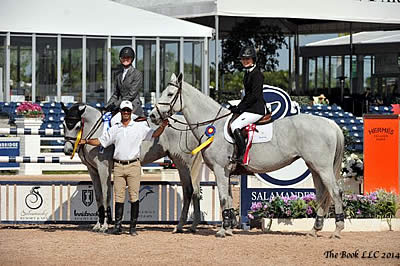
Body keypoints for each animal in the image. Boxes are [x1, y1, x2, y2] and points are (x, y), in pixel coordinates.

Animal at [63, 103, 202, 233]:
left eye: (77, 126)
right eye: (64, 125)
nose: (67, 150)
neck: (97, 131)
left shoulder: (103, 168)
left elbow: (106, 194)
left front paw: (105, 226)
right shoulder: (93, 170)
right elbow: (98, 196)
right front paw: (98, 225)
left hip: (182, 164)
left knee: (188, 190)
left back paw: (180, 226)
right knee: (195, 191)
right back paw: (193, 226)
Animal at [149, 73, 344, 239]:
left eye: (170, 94)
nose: (152, 116)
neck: (214, 125)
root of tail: (331, 123)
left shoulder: (220, 170)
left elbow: (222, 198)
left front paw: (222, 231)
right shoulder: (226, 172)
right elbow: (228, 199)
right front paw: (228, 228)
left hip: (322, 168)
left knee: (335, 192)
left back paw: (337, 230)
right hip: (314, 167)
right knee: (322, 194)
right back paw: (314, 230)